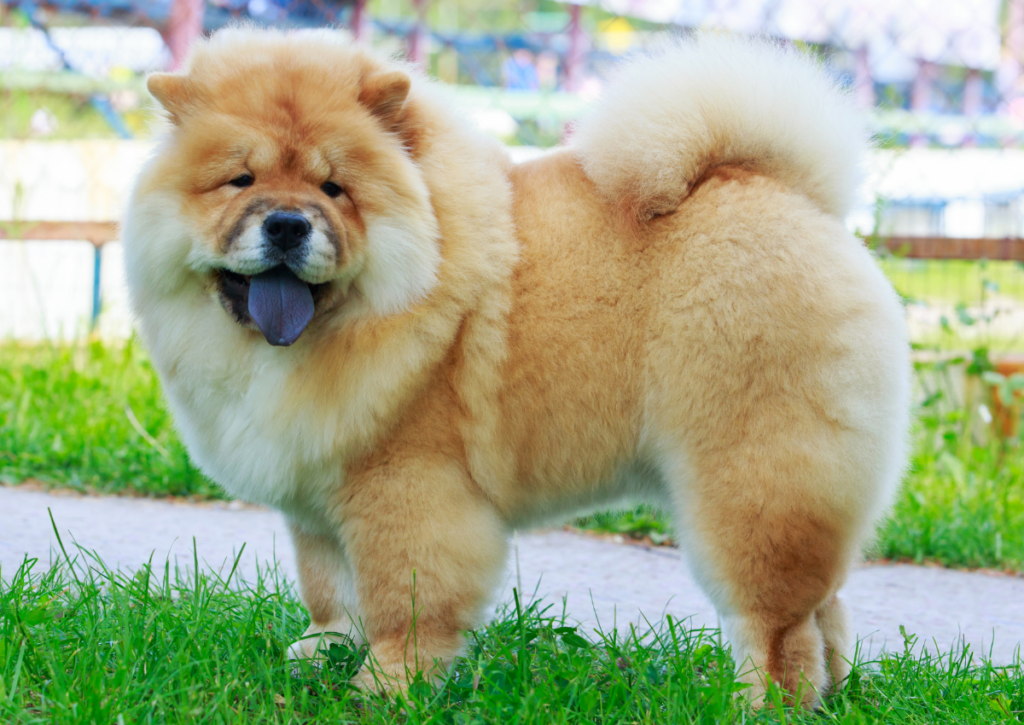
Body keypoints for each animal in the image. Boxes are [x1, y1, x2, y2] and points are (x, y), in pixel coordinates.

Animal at [121, 28, 913, 708]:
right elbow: (328, 586)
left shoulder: (407, 487)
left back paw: (756, 705)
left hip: (748, 483)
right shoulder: (316, 490)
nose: (287, 223)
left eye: (334, 188)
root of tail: (791, 196)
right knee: (826, 611)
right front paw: (322, 652)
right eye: (240, 180)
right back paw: (835, 696)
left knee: (777, 625)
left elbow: (404, 600)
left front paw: (385, 688)